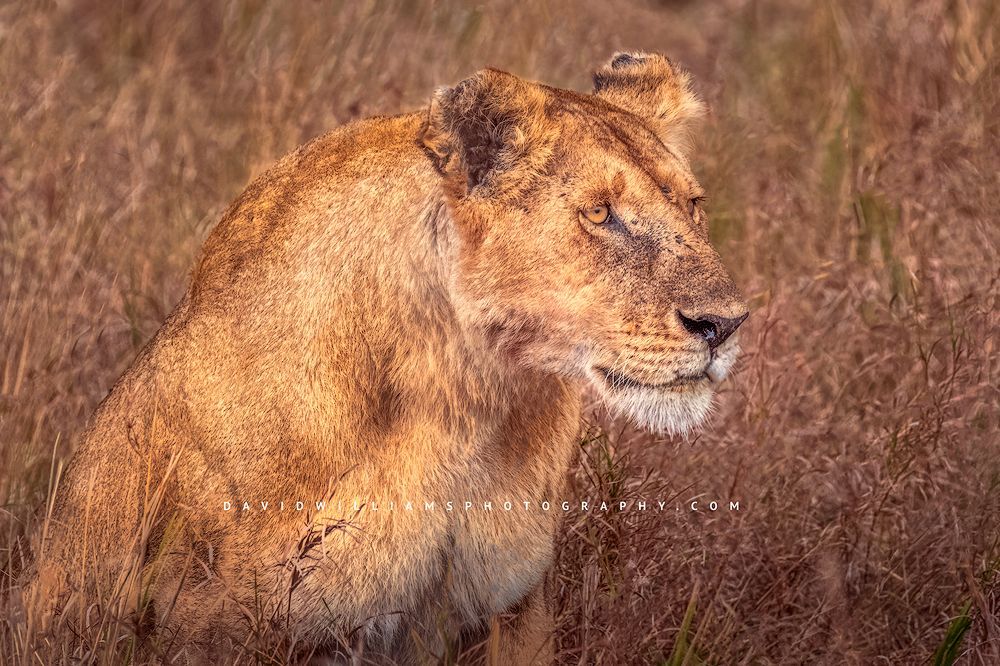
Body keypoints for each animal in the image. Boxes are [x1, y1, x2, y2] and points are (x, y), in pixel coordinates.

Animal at [24, 52, 748, 664]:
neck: (466, 402)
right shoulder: (222, 623)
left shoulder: (510, 610)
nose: (725, 325)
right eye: (599, 213)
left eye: (693, 205)